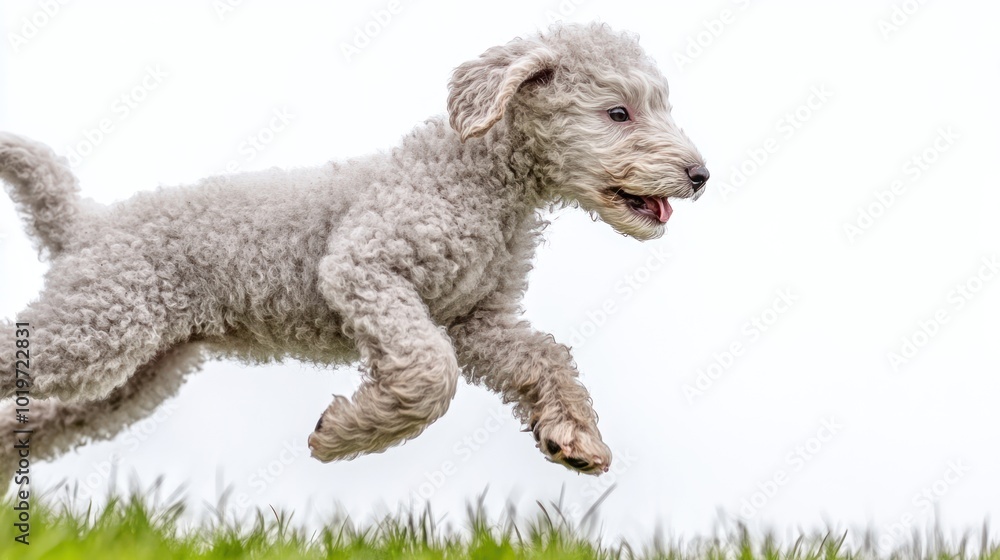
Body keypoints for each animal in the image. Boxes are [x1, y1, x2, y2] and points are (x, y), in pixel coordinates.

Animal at [0, 23, 708, 482]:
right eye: (618, 112)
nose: (701, 175)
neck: (482, 182)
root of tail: (86, 223)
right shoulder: (366, 268)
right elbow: (430, 372)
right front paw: (345, 434)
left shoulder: (477, 321)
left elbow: (545, 356)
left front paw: (574, 437)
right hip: (96, 324)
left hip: (139, 369)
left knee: (52, 417)